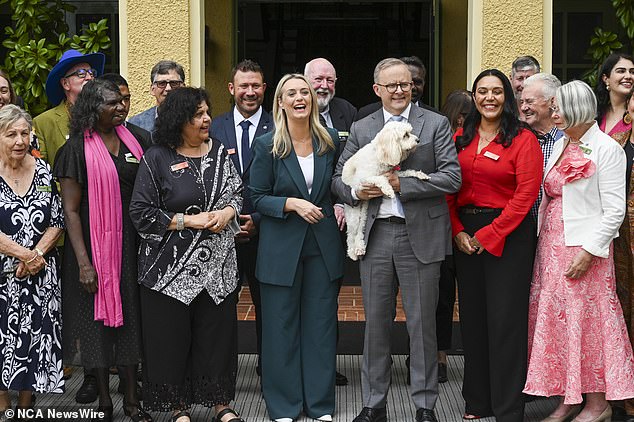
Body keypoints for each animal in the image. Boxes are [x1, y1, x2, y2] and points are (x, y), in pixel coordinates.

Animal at [340, 120, 430, 260]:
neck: (379, 154)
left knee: (360, 229)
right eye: (405, 135)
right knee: (351, 234)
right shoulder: (363, 180)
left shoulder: (395, 173)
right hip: (353, 212)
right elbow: (381, 178)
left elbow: (407, 172)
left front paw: (420, 175)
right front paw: (388, 190)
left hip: (364, 211)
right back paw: (352, 252)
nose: (418, 140)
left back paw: (360, 247)